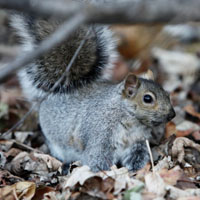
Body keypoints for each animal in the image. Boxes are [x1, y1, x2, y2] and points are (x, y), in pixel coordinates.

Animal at [10, 3, 175, 172]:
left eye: (167, 94)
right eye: (147, 98)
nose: (172, 115)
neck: (128, 119)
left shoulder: (137, 143)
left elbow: (137, 157)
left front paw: (135, 171)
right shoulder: (100, 137)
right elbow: (97, 159)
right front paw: (105, 173)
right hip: (55, 143)